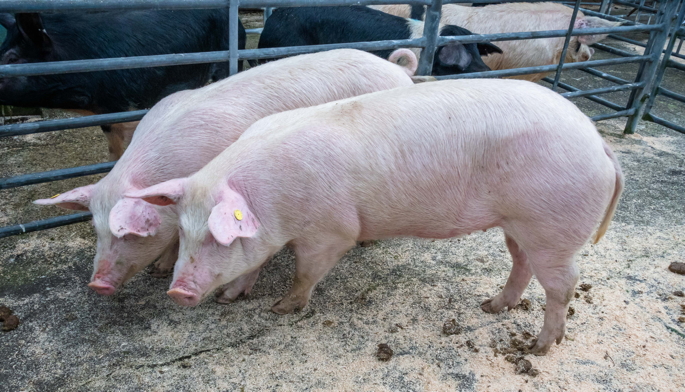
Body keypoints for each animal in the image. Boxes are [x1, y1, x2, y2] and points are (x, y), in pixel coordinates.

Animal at [125, 79, 624, 356]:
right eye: (185, 232)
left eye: (218, 236)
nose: (177, 291)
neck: (272, 201)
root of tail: (599, 143)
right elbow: (257, 261)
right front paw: (232, 297)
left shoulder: (330, 231)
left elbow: (306, 271)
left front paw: (280, 308)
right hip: (518, 224)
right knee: (521, 264)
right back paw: (490, 306)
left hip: (552, 227)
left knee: (564, 284)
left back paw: (540, 347)